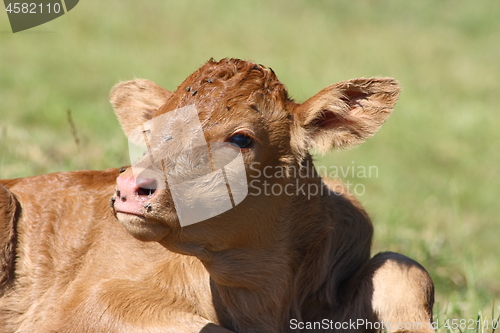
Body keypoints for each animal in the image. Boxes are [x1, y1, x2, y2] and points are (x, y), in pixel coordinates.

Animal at [0, 58, 432, 330]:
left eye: (241, 138)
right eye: (150, 132)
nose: (128, 187)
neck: (265, 301)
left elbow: (402, 268)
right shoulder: (92, 303)